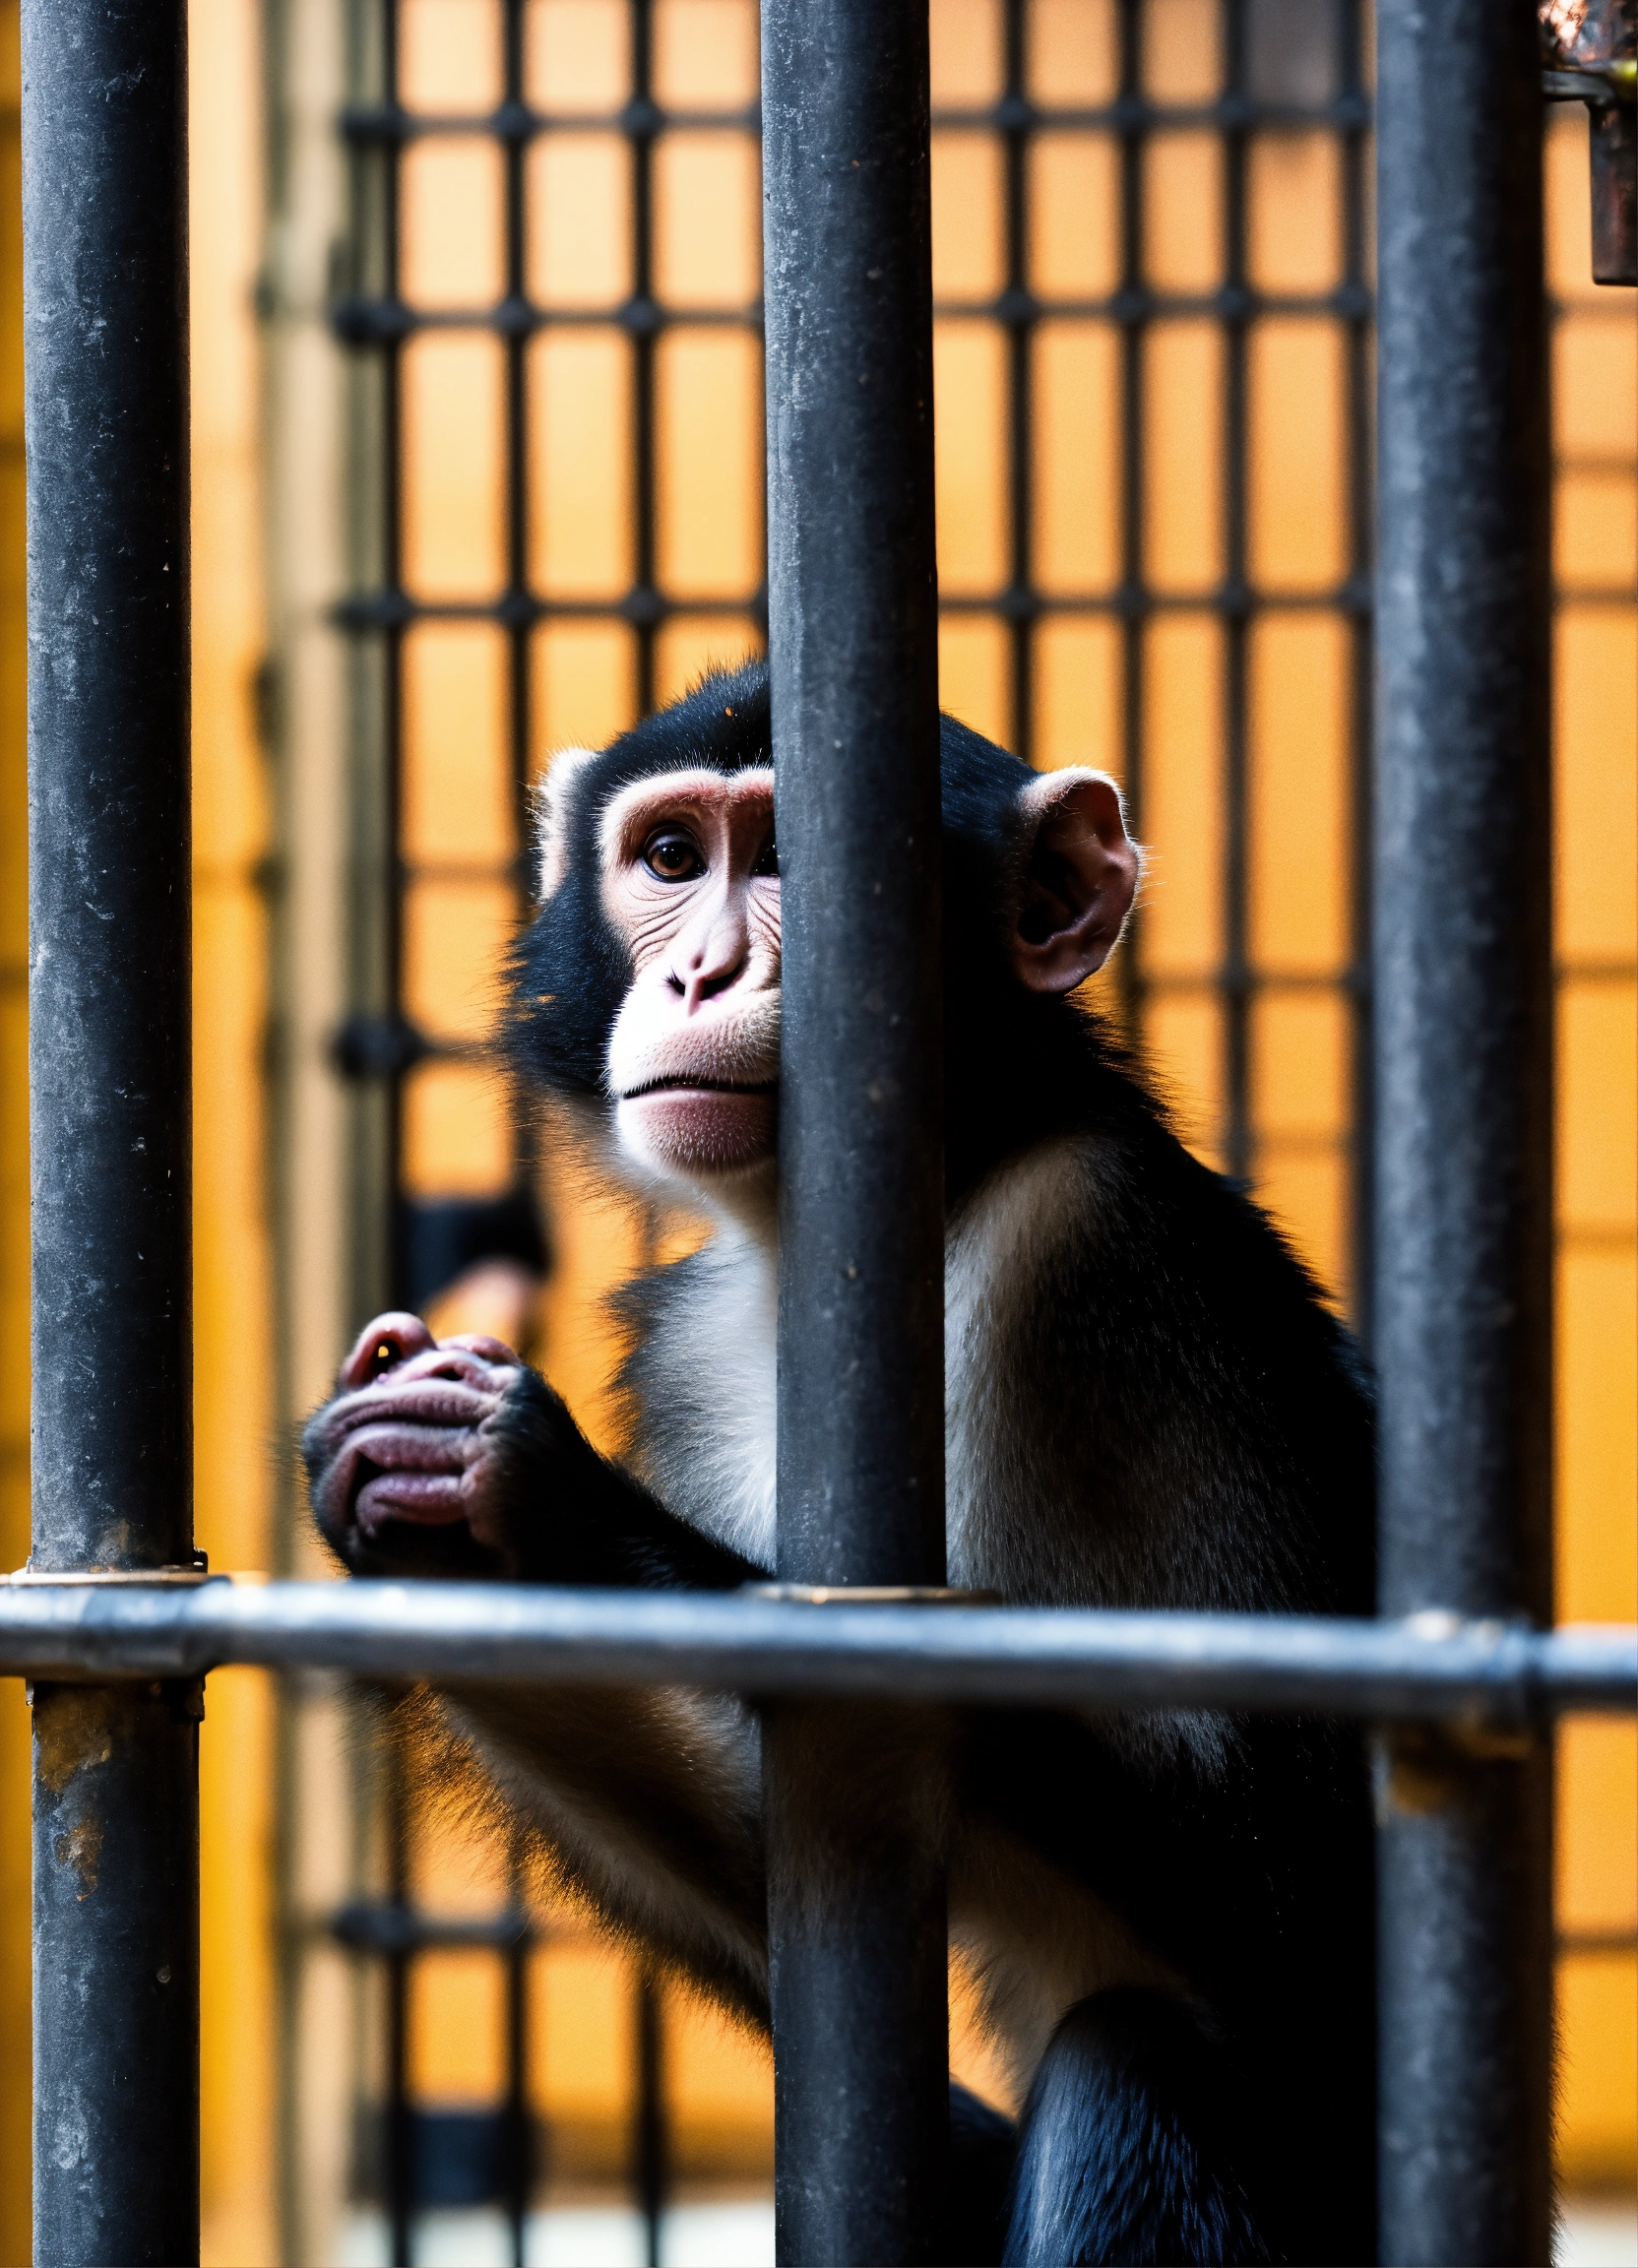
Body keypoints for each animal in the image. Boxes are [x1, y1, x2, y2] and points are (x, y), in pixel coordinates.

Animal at [303, 659, 1377, 2267]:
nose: (701, 975)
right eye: (669, 858)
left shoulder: (1106, 1268)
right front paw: (429, 1521)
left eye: (803, 864)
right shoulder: (696, 1346)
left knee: (1143, 2068)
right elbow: (798, 1895)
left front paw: (529, 1478)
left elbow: (1286, 1914)